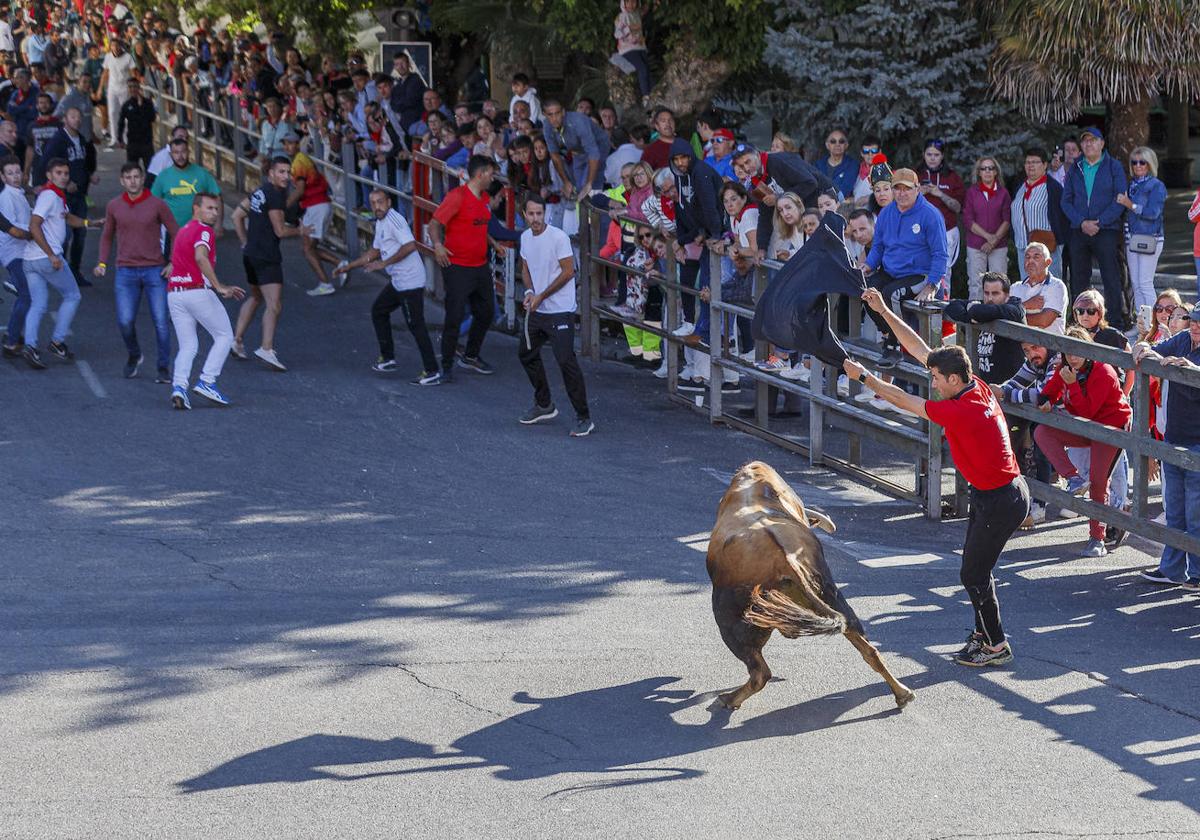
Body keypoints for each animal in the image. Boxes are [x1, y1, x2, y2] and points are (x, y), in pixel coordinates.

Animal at [700, 463, 907, 710]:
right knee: (867, 646)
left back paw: (729, 699)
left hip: (731, 620)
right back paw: (903, 694)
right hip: (831, 595)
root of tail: (786, 562)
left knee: (760, 673)